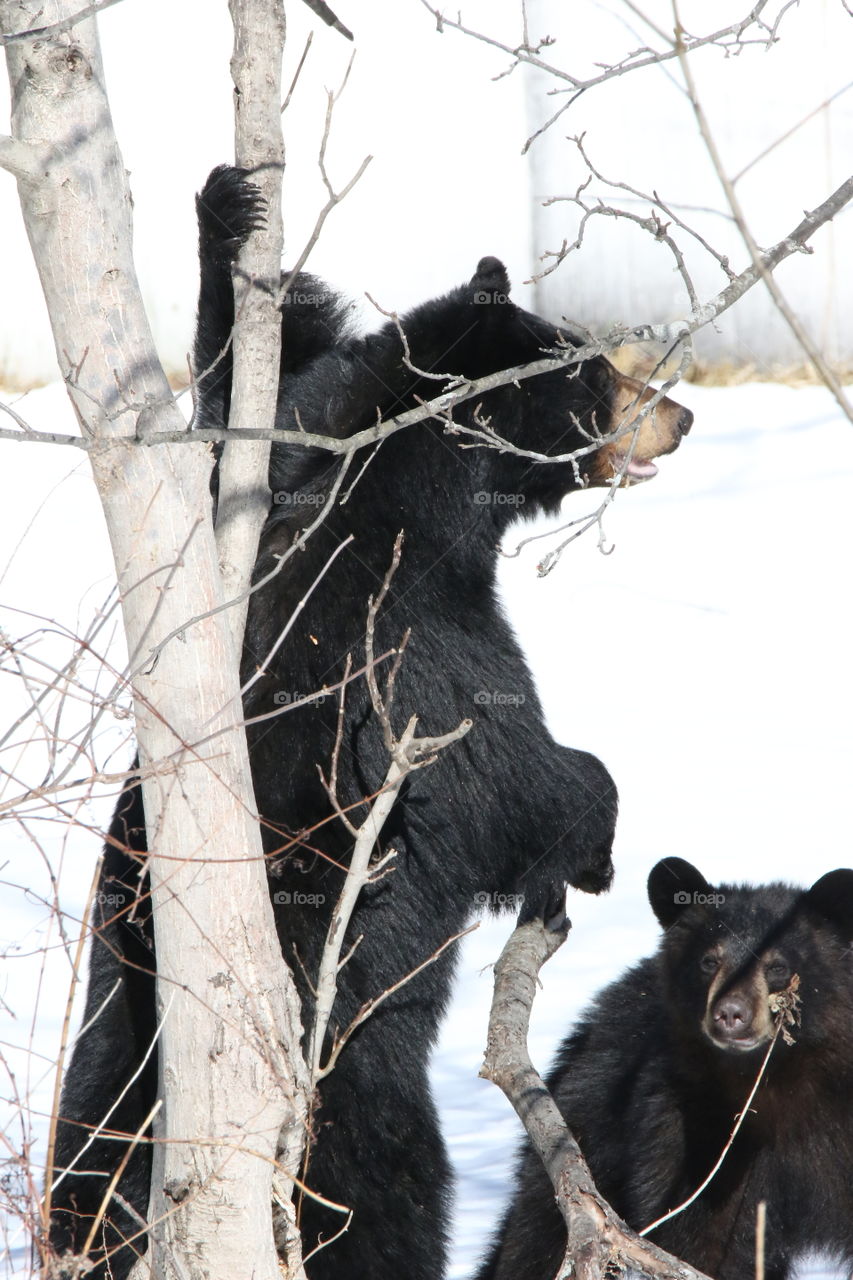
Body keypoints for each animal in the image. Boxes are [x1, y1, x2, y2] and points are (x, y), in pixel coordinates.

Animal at [49, 167, 691, 1280]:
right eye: (596, 374)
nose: (683, 414)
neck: (405, 487)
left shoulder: (268, 492)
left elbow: (244, 405)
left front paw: (231, 217)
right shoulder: (405, 640)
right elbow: (509, 769)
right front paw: (596, 837)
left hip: (100, 1068)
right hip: (359, 1095)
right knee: (389, 1188)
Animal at [473, 855, 850, 1280]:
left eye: (777, 966)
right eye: (709, 961)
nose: (730, 1014)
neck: (777, 1078)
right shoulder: (693, 1127)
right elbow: (701, 1239)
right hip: (583, 1129)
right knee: (533, 1237)